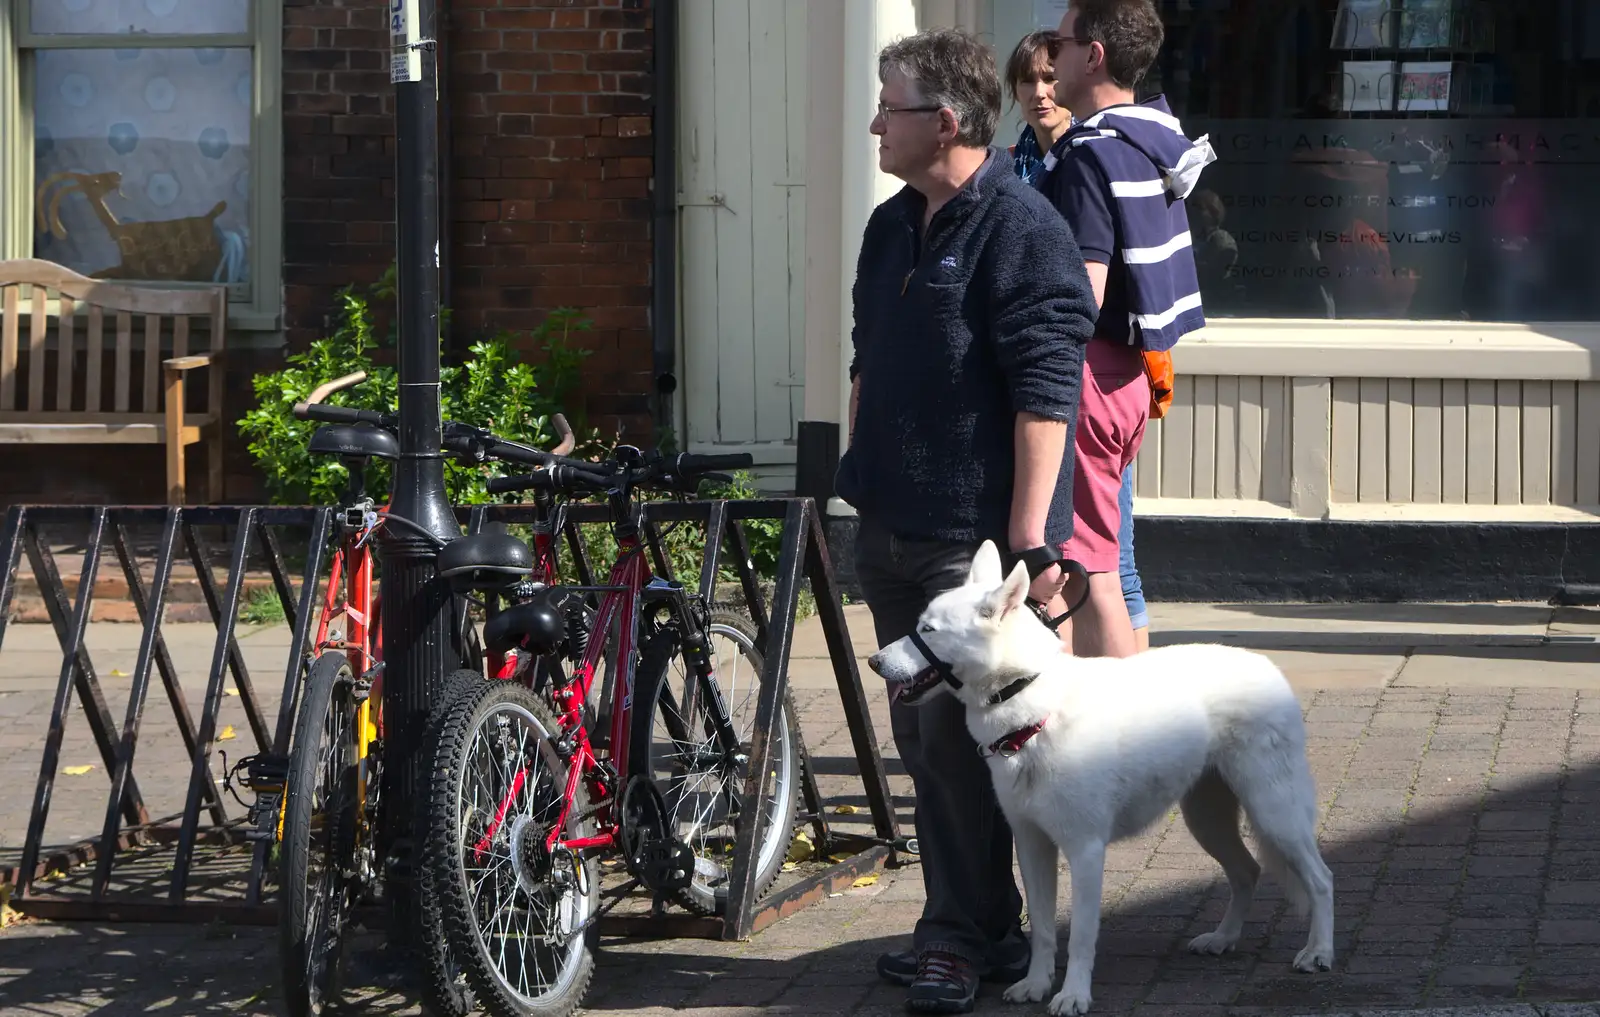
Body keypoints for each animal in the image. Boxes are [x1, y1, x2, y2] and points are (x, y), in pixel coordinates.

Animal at [870, 537, 1331, 1010]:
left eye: (928, 630)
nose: (873, 661)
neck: (1032, 705)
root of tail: (1268, 666)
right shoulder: (1032, 847)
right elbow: (1043, 931)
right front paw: (1036, 984)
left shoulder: (1086, 852)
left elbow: (1080, 937)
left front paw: (1073, 995)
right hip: (1207, 819)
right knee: (1247, 872)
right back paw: (1224, 938)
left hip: (1274, 814)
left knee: (1320, 879)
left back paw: (1318, 952)